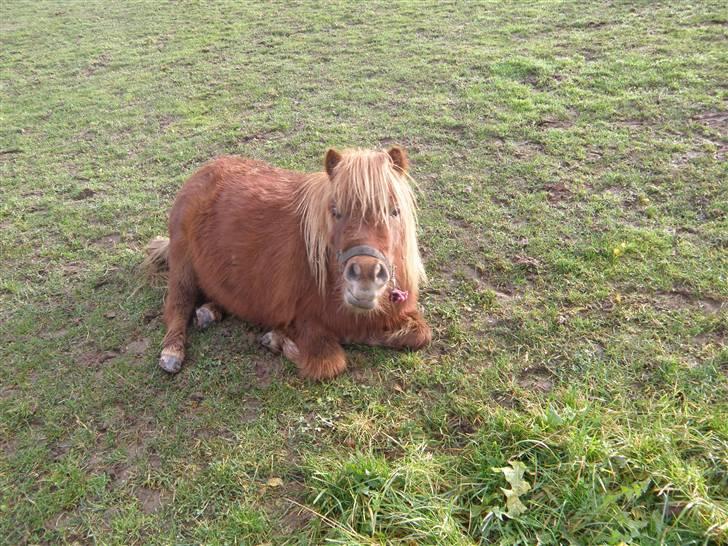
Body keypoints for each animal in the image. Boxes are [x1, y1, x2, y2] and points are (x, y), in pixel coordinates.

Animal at [145, 147, 432, 380]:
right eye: (335, 211)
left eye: (395, 211)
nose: (365, 277)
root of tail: (201, 173)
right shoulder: (305, 320)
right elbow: (329, 362)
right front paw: (278, 340)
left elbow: (421, 335)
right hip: (182, 265)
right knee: (178, 306)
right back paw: (172, 352)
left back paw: (209, 311)